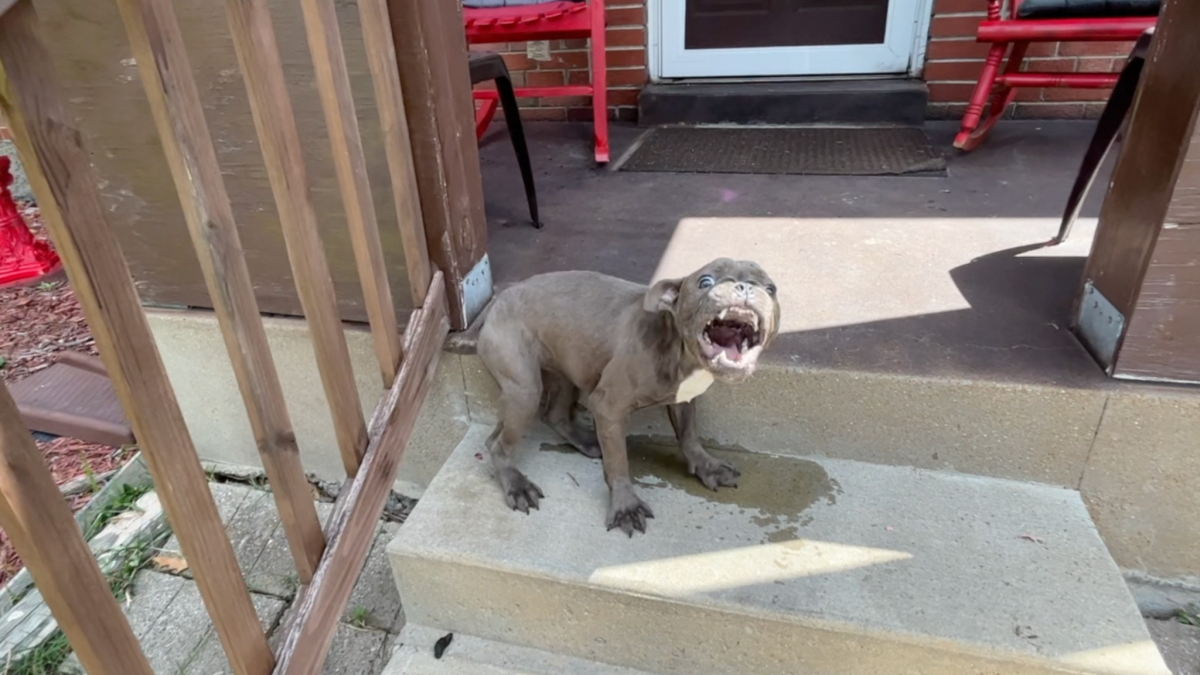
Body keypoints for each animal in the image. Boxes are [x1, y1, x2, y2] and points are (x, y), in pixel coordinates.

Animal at [477, 257, 787, 535]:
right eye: (705, 281)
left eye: (771, 289)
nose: (744, 286)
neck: (676, 347)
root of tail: (499, 299)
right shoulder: (608, 406)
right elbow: (618, 463)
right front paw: (626, 507)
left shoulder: (684, 400)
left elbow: (689, 435)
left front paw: (706, 466)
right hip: (525, 390)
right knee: (497, 443)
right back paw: (516, 484)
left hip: (568, 367)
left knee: (554, 414)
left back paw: (586, 441)